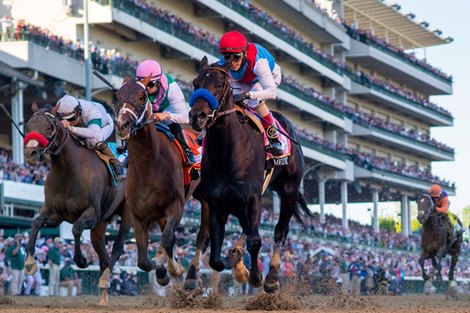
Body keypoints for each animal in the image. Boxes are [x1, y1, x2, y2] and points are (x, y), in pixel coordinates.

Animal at [23, 103, 132, 304]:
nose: (30, 153)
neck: (68, 170)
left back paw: (106, 279)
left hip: (127, 214)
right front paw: (30, 262)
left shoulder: (92, 213)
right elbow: (35, 222)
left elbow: (76, 228)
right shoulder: (55, 214)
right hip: (101, 224)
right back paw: (103, 296)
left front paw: (81, 260)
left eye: (49, 127)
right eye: (28, 126)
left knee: (118, 247)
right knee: (102, 254)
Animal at [113, 77, 208, 288]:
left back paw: (190, 275)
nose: (122, 124)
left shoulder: (176, 205)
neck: (149, 167)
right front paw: (162, 270)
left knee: (202, 235)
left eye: (142, 96)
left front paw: (173, 268)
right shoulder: (139, 215)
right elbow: (143, 260)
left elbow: (167, 239)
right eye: (116, 96)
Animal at [187, 56, 312, 292]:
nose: (197, 116)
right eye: (195, 83)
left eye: (219, 84)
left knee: (280, 231)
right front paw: (239, 268)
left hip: (289, 190)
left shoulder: (253, 197)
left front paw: (255, 276)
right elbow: (214, 257)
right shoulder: (216, 201)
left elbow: (255, 240)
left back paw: (271, 276)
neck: (228, 152)